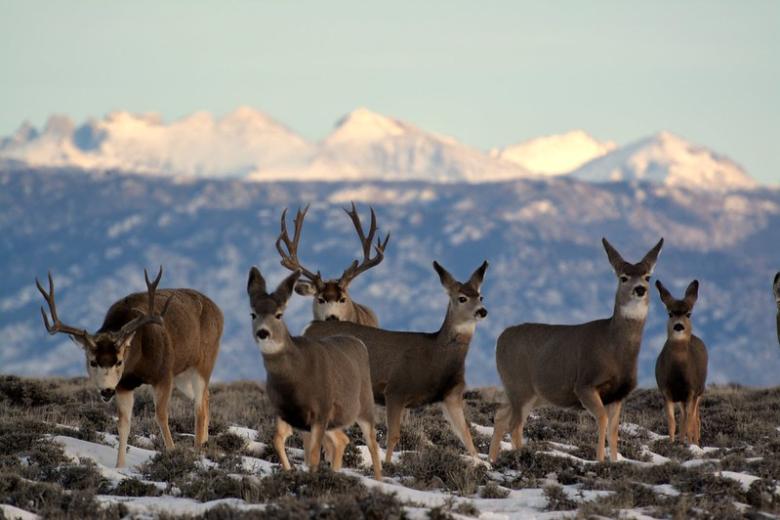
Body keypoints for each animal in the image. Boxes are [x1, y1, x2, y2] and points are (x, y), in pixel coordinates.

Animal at [35, 267, 223, 468]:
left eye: (119, 361)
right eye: (92, 361)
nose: (107, 390)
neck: (137, 360)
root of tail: (218, 311)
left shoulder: (164, 374)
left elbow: (161, 415)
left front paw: (172, 452)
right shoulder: (124, 385)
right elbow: (123, 423)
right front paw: (119, 466)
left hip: (204, 362)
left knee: (199, 407)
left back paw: (198, 450)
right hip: (183, 375)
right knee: (206, 397)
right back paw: (205, 444)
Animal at [247, 266, 382, 479]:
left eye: (279, 314)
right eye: (253, 314)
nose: (263, 333)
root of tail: (357, 341)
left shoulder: (320, 411)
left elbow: (314, 456)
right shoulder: (285, 411)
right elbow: (278, 439)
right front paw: (289, 472)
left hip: (364, 405)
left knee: (372, 442)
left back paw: (378, 480)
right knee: (342, 439)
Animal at [304, 260, 489, 464]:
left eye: (481, 296)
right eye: (462, 298)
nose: (482, 311)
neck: (435, 356)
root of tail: (310, 327)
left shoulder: (452, 394)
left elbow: (465, 434)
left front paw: (482, 463)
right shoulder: (395, 388)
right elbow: (393, 435)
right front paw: (387, 464)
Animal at [489, 238, 663, 464]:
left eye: (647, 276)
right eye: (623, 277)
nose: (640, 289)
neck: (614, 348)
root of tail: (501, 338)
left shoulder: (618, 394)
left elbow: (614, 430)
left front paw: (615, 461)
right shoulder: (584, 384)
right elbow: (602, 419)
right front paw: (600, 460)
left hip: (528, 392)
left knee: (501, 416)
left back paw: (491, 460)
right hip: (520, 385)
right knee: (515, 425)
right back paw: (520, 456)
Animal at [654, 279, 707, 446]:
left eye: (688, 314)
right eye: (670, 313)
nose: (678, 326)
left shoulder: (691, 391)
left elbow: (689, 421)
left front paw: (688, 444)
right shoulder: (666, 391)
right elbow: (672, 421)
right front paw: (672, 442)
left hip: (699, 390)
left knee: (695, 418)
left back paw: (695, 441)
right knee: (685, 417)